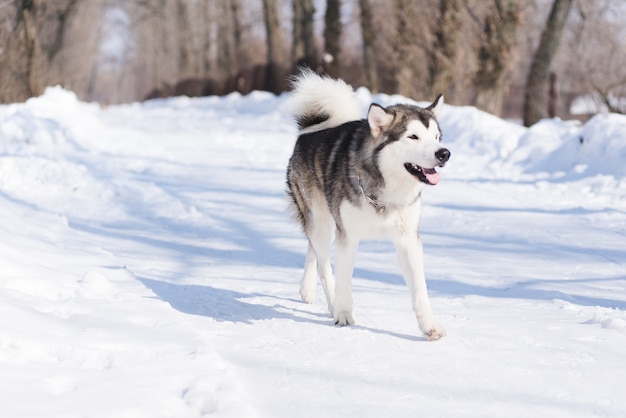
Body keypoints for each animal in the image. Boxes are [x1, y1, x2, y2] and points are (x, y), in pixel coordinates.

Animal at [282, 70, 448, 340]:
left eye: (436, 137)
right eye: (412, 137)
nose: (444, 153)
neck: (385, 192)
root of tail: (308, 132)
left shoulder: (408, 240)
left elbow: (419, 289)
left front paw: (430, 326)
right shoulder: (347, 237)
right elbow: (343, 278)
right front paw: (343, 314)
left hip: (328, 222)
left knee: (313, 251)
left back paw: (307, 290)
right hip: (320, 220)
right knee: (323, 263)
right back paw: (330, 303)